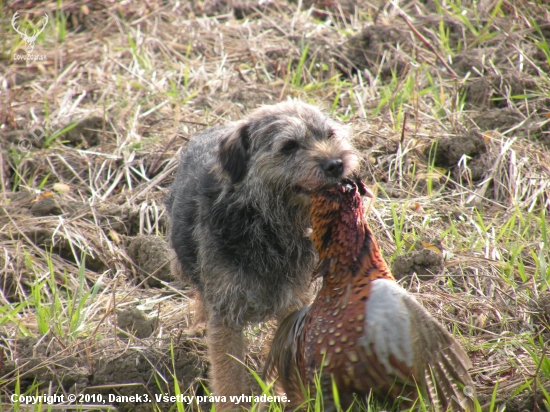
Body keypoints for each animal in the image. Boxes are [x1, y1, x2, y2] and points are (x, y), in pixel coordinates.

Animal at [166, 100, 360, 408]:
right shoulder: (226, 314)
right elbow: (228, 377)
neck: (267, 224)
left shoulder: (293, 304)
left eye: (330, 134)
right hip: (181, 261)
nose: (336, 163)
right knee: (198, 289)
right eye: (289, 146)